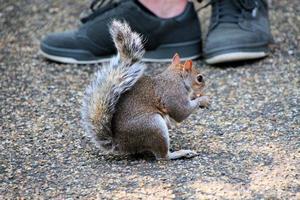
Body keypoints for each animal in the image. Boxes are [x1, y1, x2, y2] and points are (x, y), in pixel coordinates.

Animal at [81, 19, 210, 161]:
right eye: (199, 78)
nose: (205, 85)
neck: (176, 77)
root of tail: (121, 144)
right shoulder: (173, 93)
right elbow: (181, 112)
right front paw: (203, 99)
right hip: (153, 125)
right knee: (162, 156)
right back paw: (181, 153)